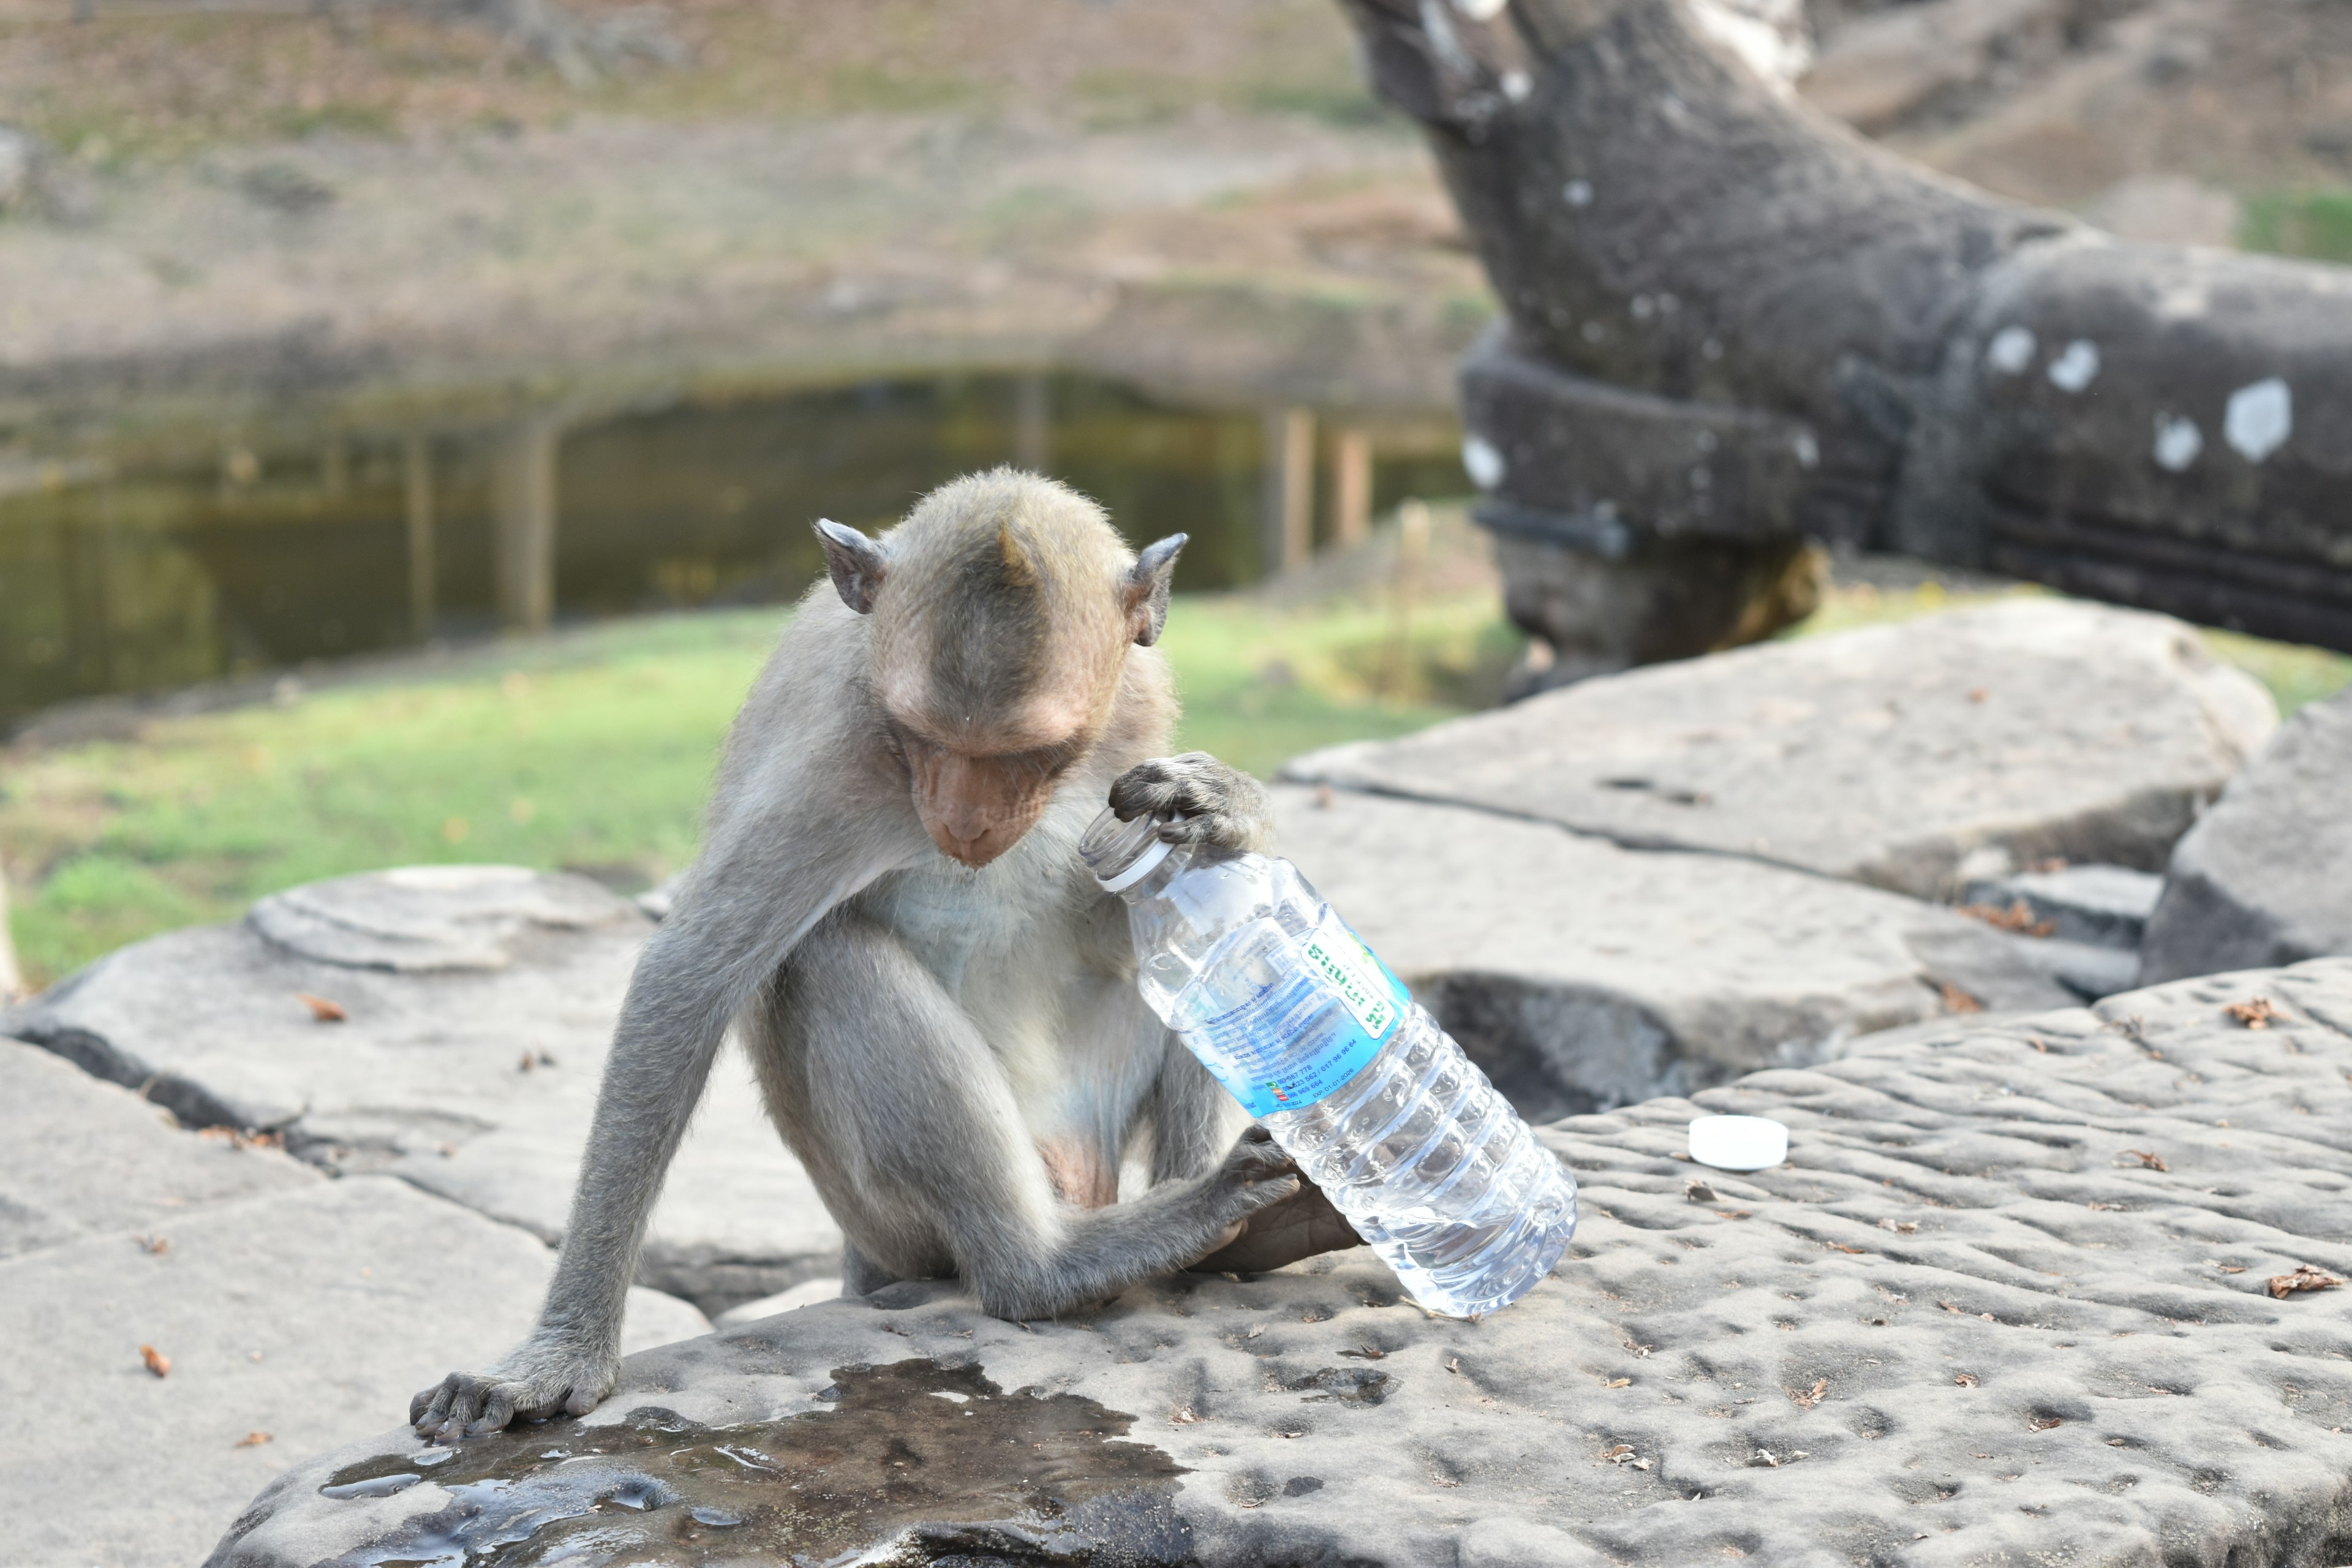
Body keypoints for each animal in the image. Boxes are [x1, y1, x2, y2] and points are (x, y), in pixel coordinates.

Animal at [412, 470, 1354, 1448]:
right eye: (926, 737)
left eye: (1038, 753)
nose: (966, 823)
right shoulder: (837, 762)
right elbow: (691, 975)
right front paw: (558, 1356)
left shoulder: (1136, 706)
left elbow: (1152, 888)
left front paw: (1219, 805)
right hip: (897, 1219)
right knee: (827, 957)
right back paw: (1053, 1263)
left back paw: (1238, 1234)